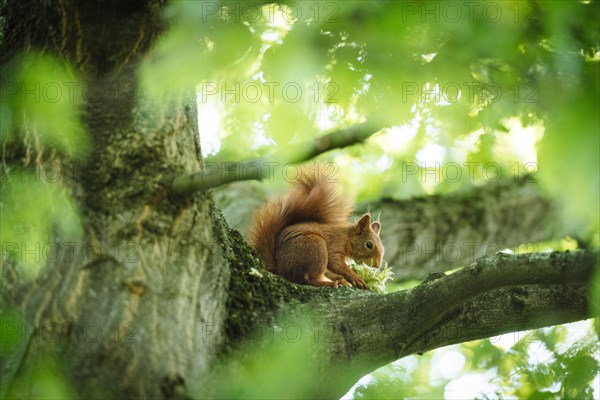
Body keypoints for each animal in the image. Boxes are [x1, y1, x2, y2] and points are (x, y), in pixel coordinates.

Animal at [248, 168, 384, 288]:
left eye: (382, 248)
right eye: (369, 245)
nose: (377, 266)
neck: (347, 238)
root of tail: (279, 268)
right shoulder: (335, 245)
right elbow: (336, 263)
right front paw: (355, 276)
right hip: (315, 246)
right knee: (311, 280)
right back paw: (331, 283)